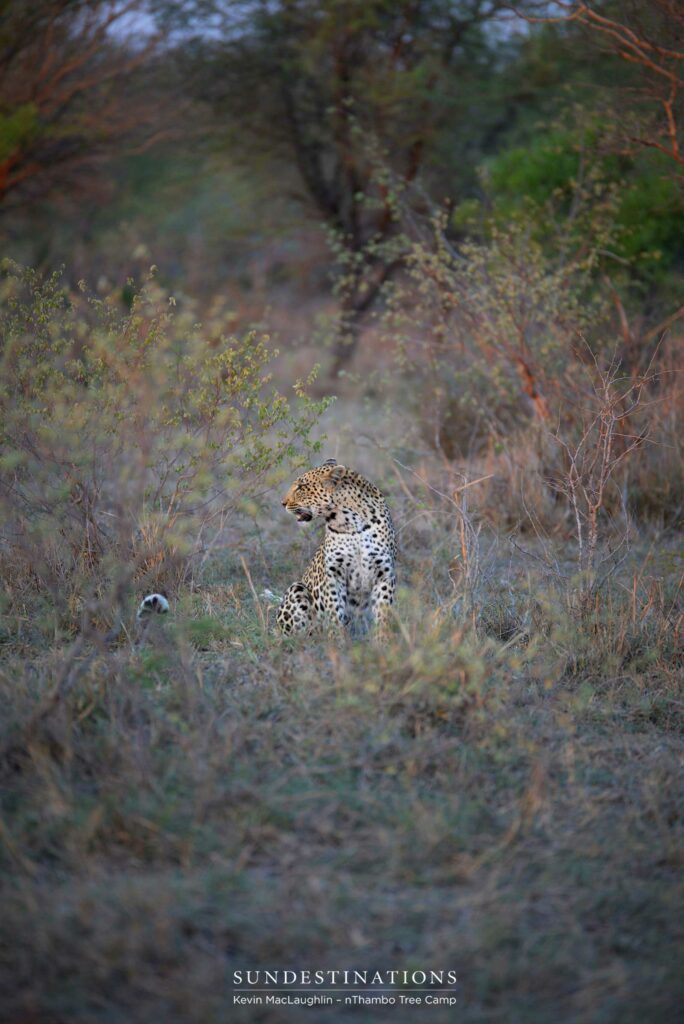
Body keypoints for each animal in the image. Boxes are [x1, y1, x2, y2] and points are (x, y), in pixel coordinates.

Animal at [275, 459, 396, 639]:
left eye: (301, 487)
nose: (283, 503)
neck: (351, 523)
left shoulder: (384, 573)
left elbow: (383, 612)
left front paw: (383, 640)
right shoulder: (334, 574)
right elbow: (334, 611)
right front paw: (337, 640)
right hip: (297, 588)